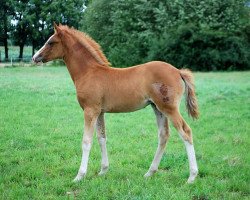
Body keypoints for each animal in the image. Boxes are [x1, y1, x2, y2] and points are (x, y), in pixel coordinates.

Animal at [32, 23, 199, 183]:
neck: (88, 72)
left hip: (169, 108)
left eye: (51, 42)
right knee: (163, 135)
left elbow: (86, 141)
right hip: (157, 108)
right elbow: (101, 138)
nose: (34, 57)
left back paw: (191, 177)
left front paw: (79, 176)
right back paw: (150, 173)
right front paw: (103, 171)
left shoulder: (90, 110)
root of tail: (178, 71)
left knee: (186, 132)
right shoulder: (99, 112)